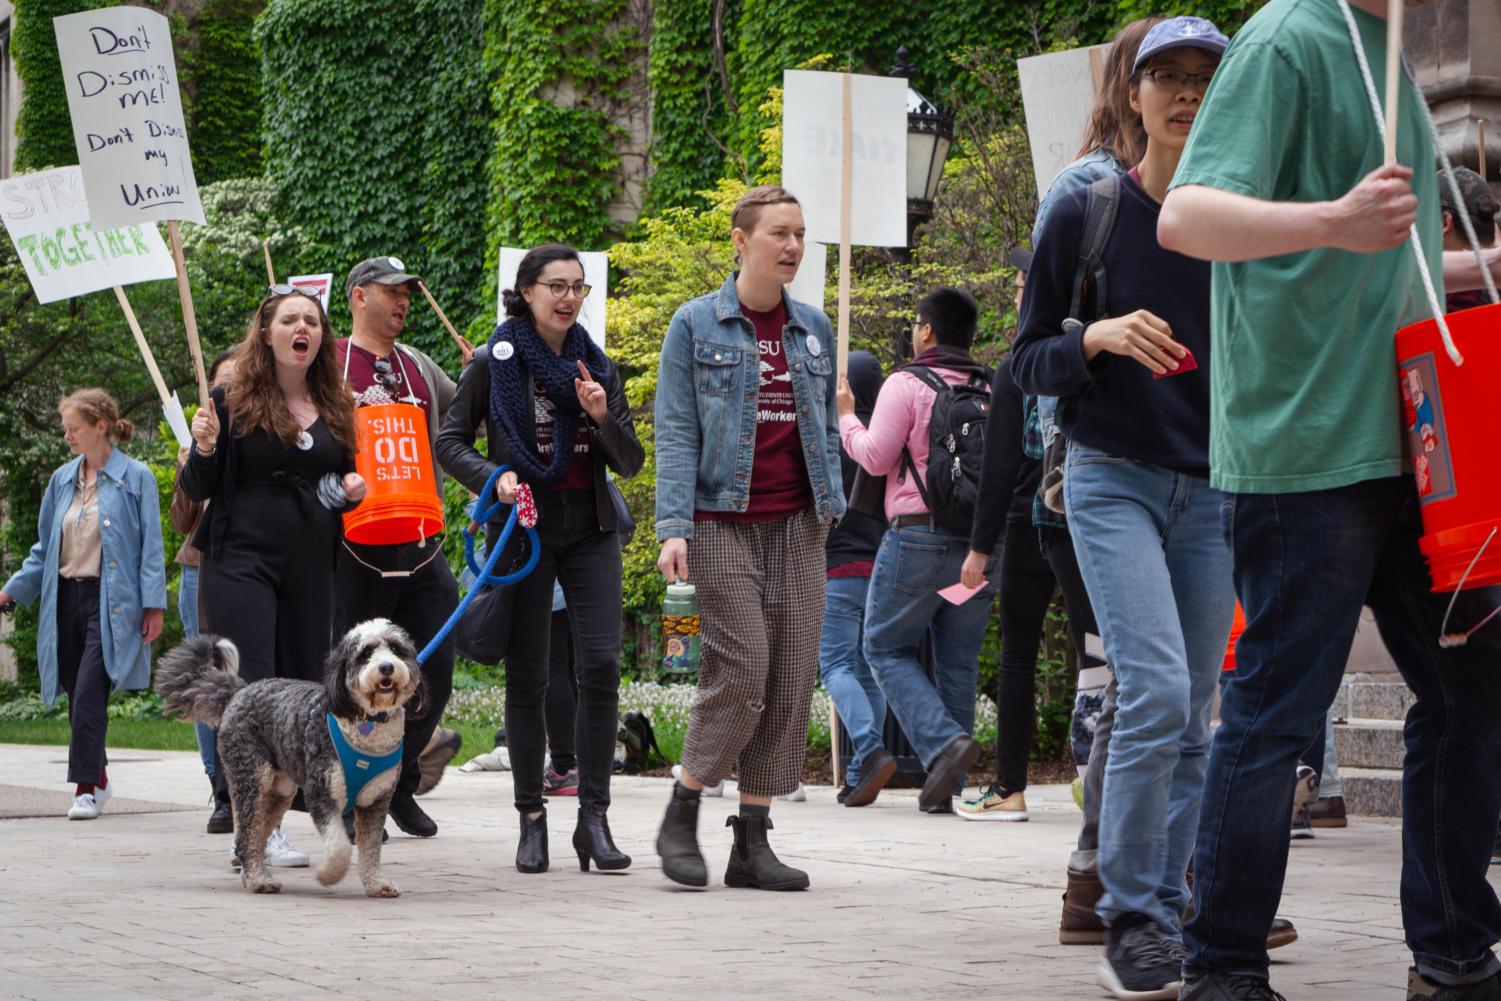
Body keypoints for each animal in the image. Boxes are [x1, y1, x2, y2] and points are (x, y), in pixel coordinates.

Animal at [156, 621, 426, 894]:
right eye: (365, 653)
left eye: (396, 648)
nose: (386, 667)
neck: (365, 721)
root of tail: (239, 692)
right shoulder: (321, 792)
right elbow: (338, 845)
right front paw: (329, 875)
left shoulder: (376, 800)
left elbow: (371, 848)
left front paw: (377, 884)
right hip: (252, 779)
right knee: (245, 837)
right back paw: (258, 880)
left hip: (279, 792)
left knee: (256, 838)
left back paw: (254, 876)